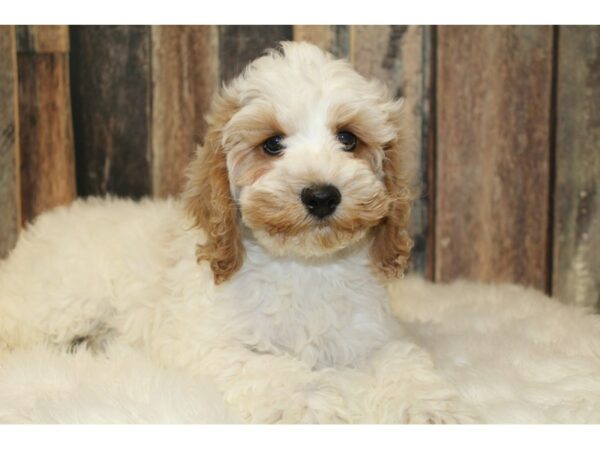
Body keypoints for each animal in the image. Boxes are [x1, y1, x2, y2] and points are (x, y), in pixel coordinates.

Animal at [0, 40, 478, 424]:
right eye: (272, 144)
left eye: (348, 139)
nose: (321, 196)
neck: (305, 265)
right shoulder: (206, 344)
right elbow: (269, 368)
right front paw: (310, 403)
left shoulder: (375, 333)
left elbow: (403, 360)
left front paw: (431, 409)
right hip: (60, 304)